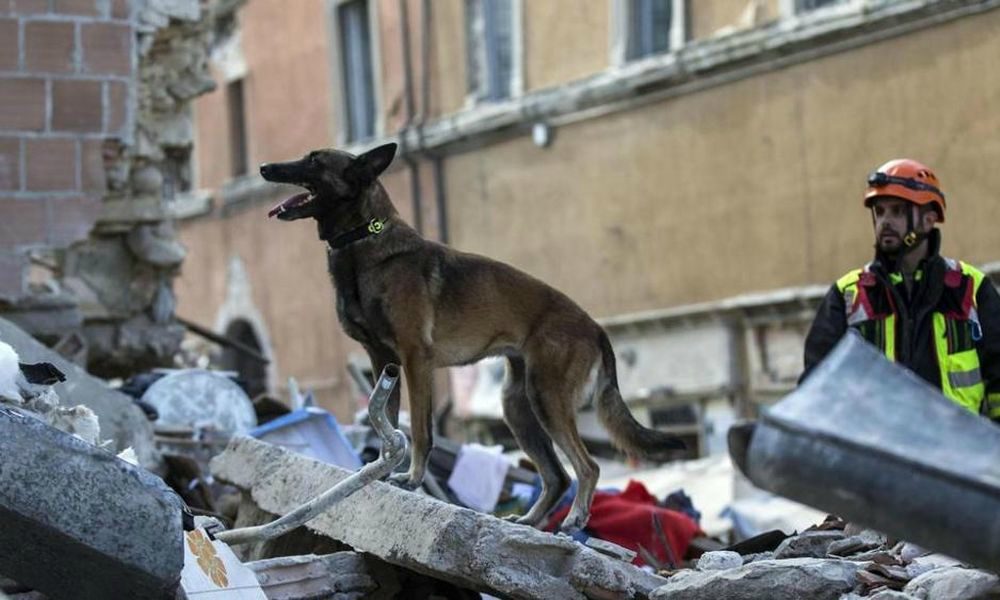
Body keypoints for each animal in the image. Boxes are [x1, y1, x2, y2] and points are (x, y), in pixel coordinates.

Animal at [264, 143, 688, 532]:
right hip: (517, 406)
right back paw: (529, 521)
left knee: (588, 466)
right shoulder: (382, 360)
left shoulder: (415, 361)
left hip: (545, 398)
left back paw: (576, 517)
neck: (363, 239)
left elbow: (421, 431)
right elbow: (388, 422)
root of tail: (595, 327)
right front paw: (382, 469)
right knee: (556, 475)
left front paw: (412, 479)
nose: (265, 167)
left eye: (315, 160)